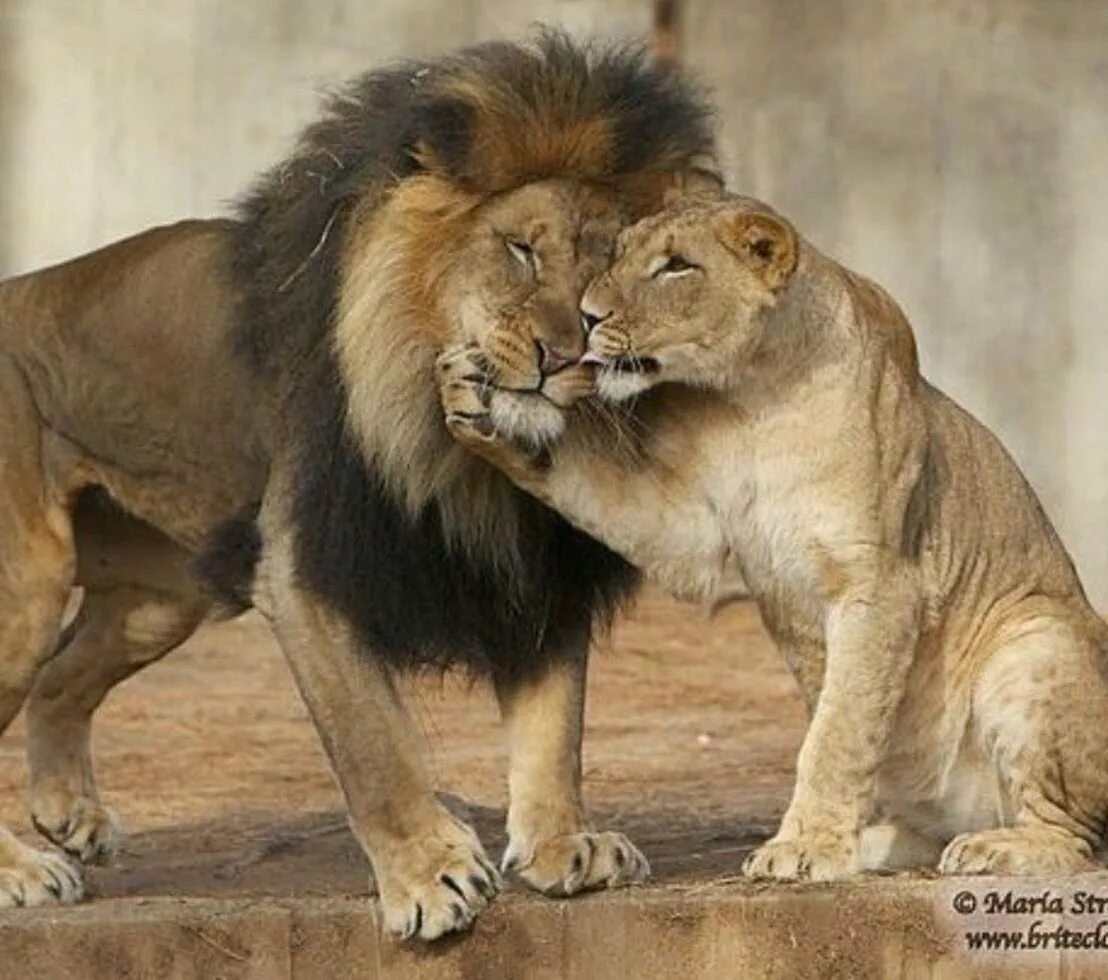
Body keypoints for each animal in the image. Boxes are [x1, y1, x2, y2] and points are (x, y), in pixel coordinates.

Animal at [0, 36, 713, 940]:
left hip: (159, 596)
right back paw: (22, 870)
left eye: (608, 271)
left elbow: (557, 723)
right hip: (27, 584)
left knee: (60, 676)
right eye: (521, 250)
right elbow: (373, 743)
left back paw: (69, 816)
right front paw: (429, 875)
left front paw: (564, 846)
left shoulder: (536, 567)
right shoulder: (305, 565)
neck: (459, 459)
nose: (564, 355)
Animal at [438, 191, 1108, 882]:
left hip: (1037, 642)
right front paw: (479, 397)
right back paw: (881, 844)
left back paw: (998, 847)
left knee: (1075, 834)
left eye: (676, 267)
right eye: (618, 254)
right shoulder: (694, 533)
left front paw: (806, 846)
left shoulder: (883, 584)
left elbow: (837, 732)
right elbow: (591, 482)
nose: (588, 316)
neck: (755, 400)